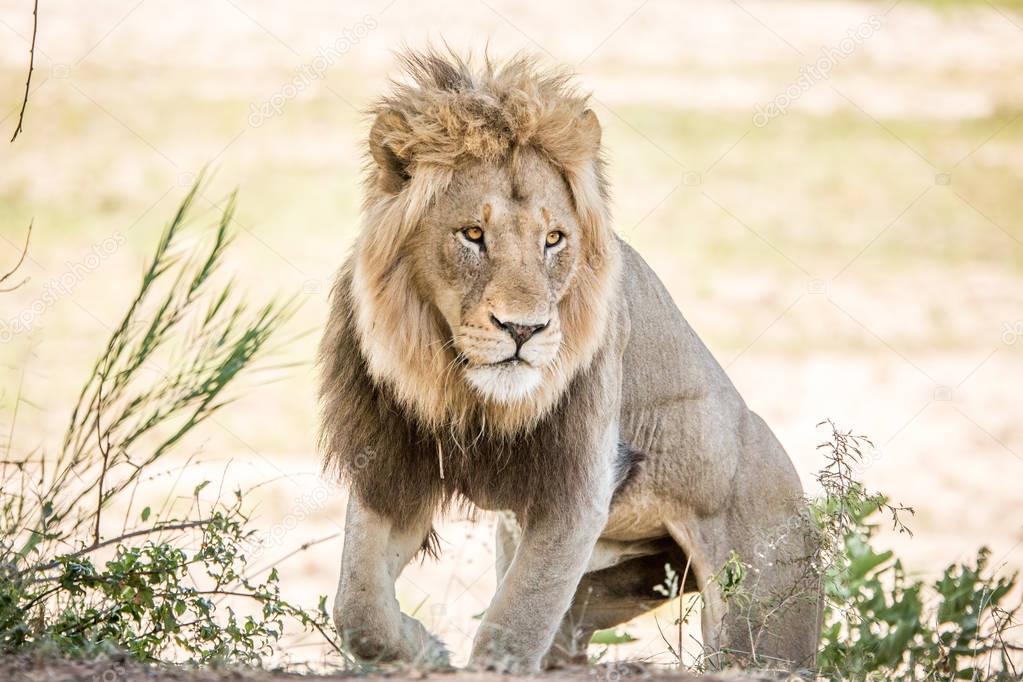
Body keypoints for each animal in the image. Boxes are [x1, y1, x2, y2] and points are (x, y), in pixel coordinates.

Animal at [315, 50, 818, 674]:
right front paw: (423, 647)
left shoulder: (578, 485)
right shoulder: (391, 462)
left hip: (762, 618)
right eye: (473, 234)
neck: (463, 388)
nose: (523, 330)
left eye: (554, 239)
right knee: (567, 626)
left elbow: (513, 627)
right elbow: (359, 607)